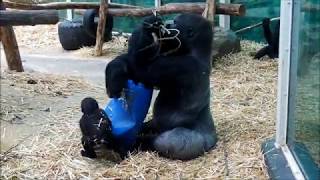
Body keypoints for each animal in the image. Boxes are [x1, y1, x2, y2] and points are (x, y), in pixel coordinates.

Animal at [105, 14, 218, 160]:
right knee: (151, 126)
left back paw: (126, 144)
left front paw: (149, 27)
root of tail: (213, 139)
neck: (196, 50)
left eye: (175, 22)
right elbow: (135, 64)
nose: (168, 24)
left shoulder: (186, 66)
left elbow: (141, 68)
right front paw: (114, 71)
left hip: (198, 142)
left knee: (166, 142)